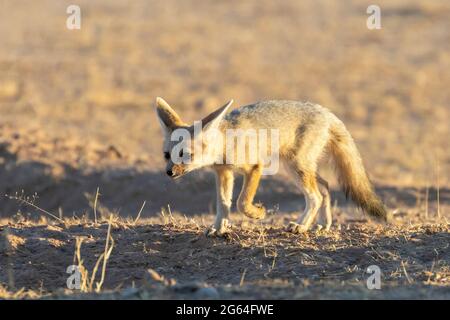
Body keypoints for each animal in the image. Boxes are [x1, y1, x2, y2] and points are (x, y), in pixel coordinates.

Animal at [155, 97, 386, 235]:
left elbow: (241, 202)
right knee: (325, 187)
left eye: (185, 155)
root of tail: (326, 112)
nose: (169, 172)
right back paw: (322, 223)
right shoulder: (224, 172)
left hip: (295, 167)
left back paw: (301, 226)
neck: (226, 143)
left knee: (316, 196)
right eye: (167, 155)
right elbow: (223, 203)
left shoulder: (254, 168)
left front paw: (258, 213)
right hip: (299, 168)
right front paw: (219, 228)